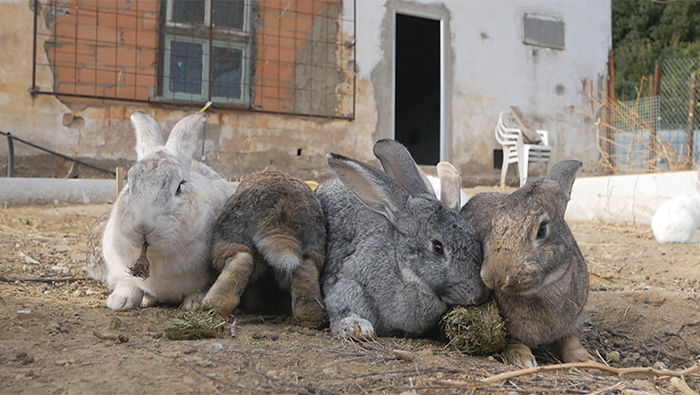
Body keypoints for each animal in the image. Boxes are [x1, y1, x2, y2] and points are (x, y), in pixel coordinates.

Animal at [101, 110, 234, 310]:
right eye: (129, 185)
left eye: (179, 186)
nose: (143, 227)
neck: (153, 255)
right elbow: (130, 284)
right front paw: (120, 302)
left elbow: (199, 289)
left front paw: (194, 304)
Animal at [200, 168, 326, 328]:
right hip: (313, 247)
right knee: (306, 269)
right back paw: (310, 317)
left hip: (230, 237)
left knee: (241, 259)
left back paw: (213, 306)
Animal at [316, 139, 486, 340]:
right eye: (438, 248)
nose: (480, 295)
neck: (402, 266)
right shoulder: (345, 282)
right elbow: (341, 305)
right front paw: (356, 328)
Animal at [462, 160, 592, 368]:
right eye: (493, 225)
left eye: (542, 229)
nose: (496, 276)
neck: (542, 292)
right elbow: (513, 341)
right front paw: (522, 359)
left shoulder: (573, 322)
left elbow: (570, 341)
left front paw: (584, 360)